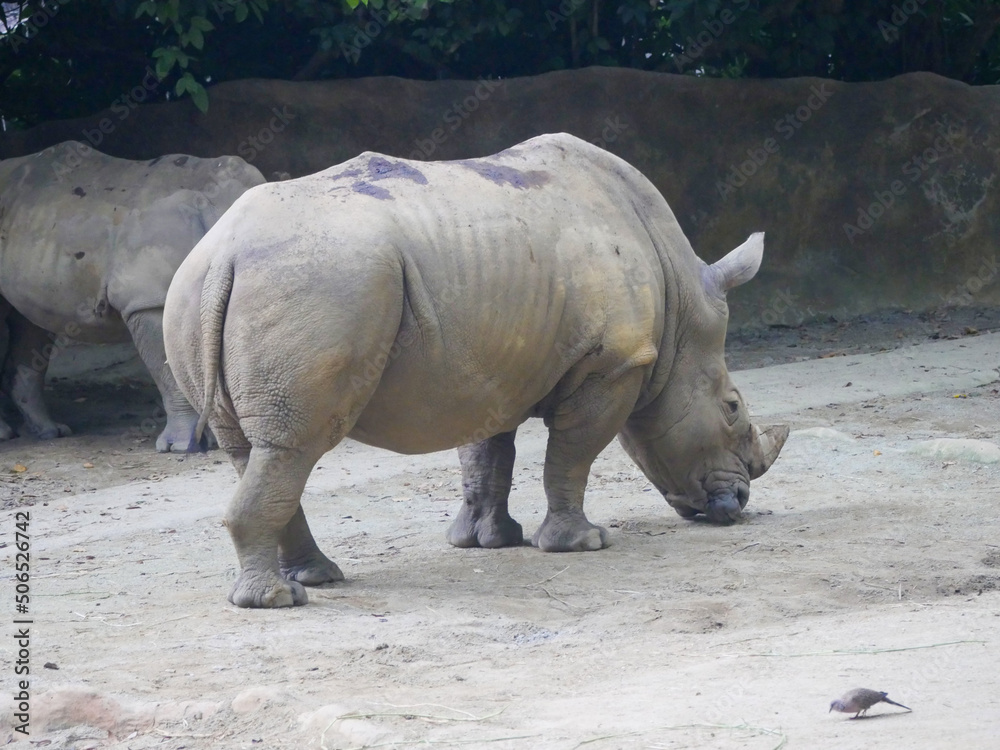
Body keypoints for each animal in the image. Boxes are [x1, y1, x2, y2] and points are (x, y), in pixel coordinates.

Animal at [0, 141, 265, 450]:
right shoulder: (149, 301)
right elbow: (169, 370)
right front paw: (181, 446)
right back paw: (9, 434)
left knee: (30, 323)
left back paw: (51, 432)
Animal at [163, 133, 788, 608]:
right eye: (732, 409)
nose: (737, 504)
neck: (680, 305)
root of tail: (224, 254)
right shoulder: (612, 364)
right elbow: (573, 454)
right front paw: (582, 543)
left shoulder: (492, 363)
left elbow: (488, 455)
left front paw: (489, 541)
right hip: (318, 285)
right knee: (293, 446)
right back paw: (278, 601)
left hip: (200, 293)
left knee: (256, 450)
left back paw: (316, 577)